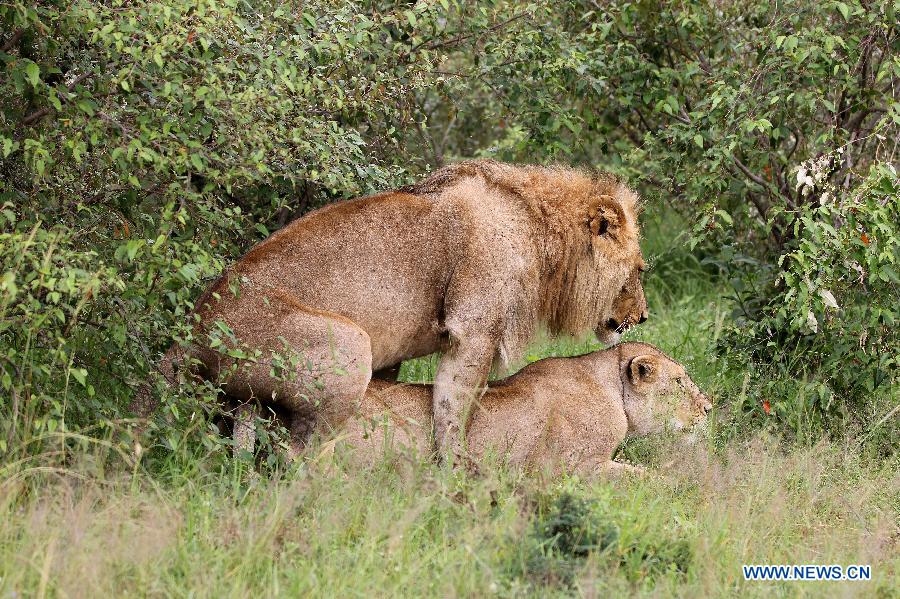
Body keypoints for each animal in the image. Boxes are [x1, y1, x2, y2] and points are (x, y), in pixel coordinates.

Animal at [142, 159, 648, 460]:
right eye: (640, 269)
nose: (643, 317)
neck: (543, 235)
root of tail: (190, 333)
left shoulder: (398, 352)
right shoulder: (473, 330)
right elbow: (455, 411)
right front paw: (457, 474)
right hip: (349, 344)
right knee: (294, 456)